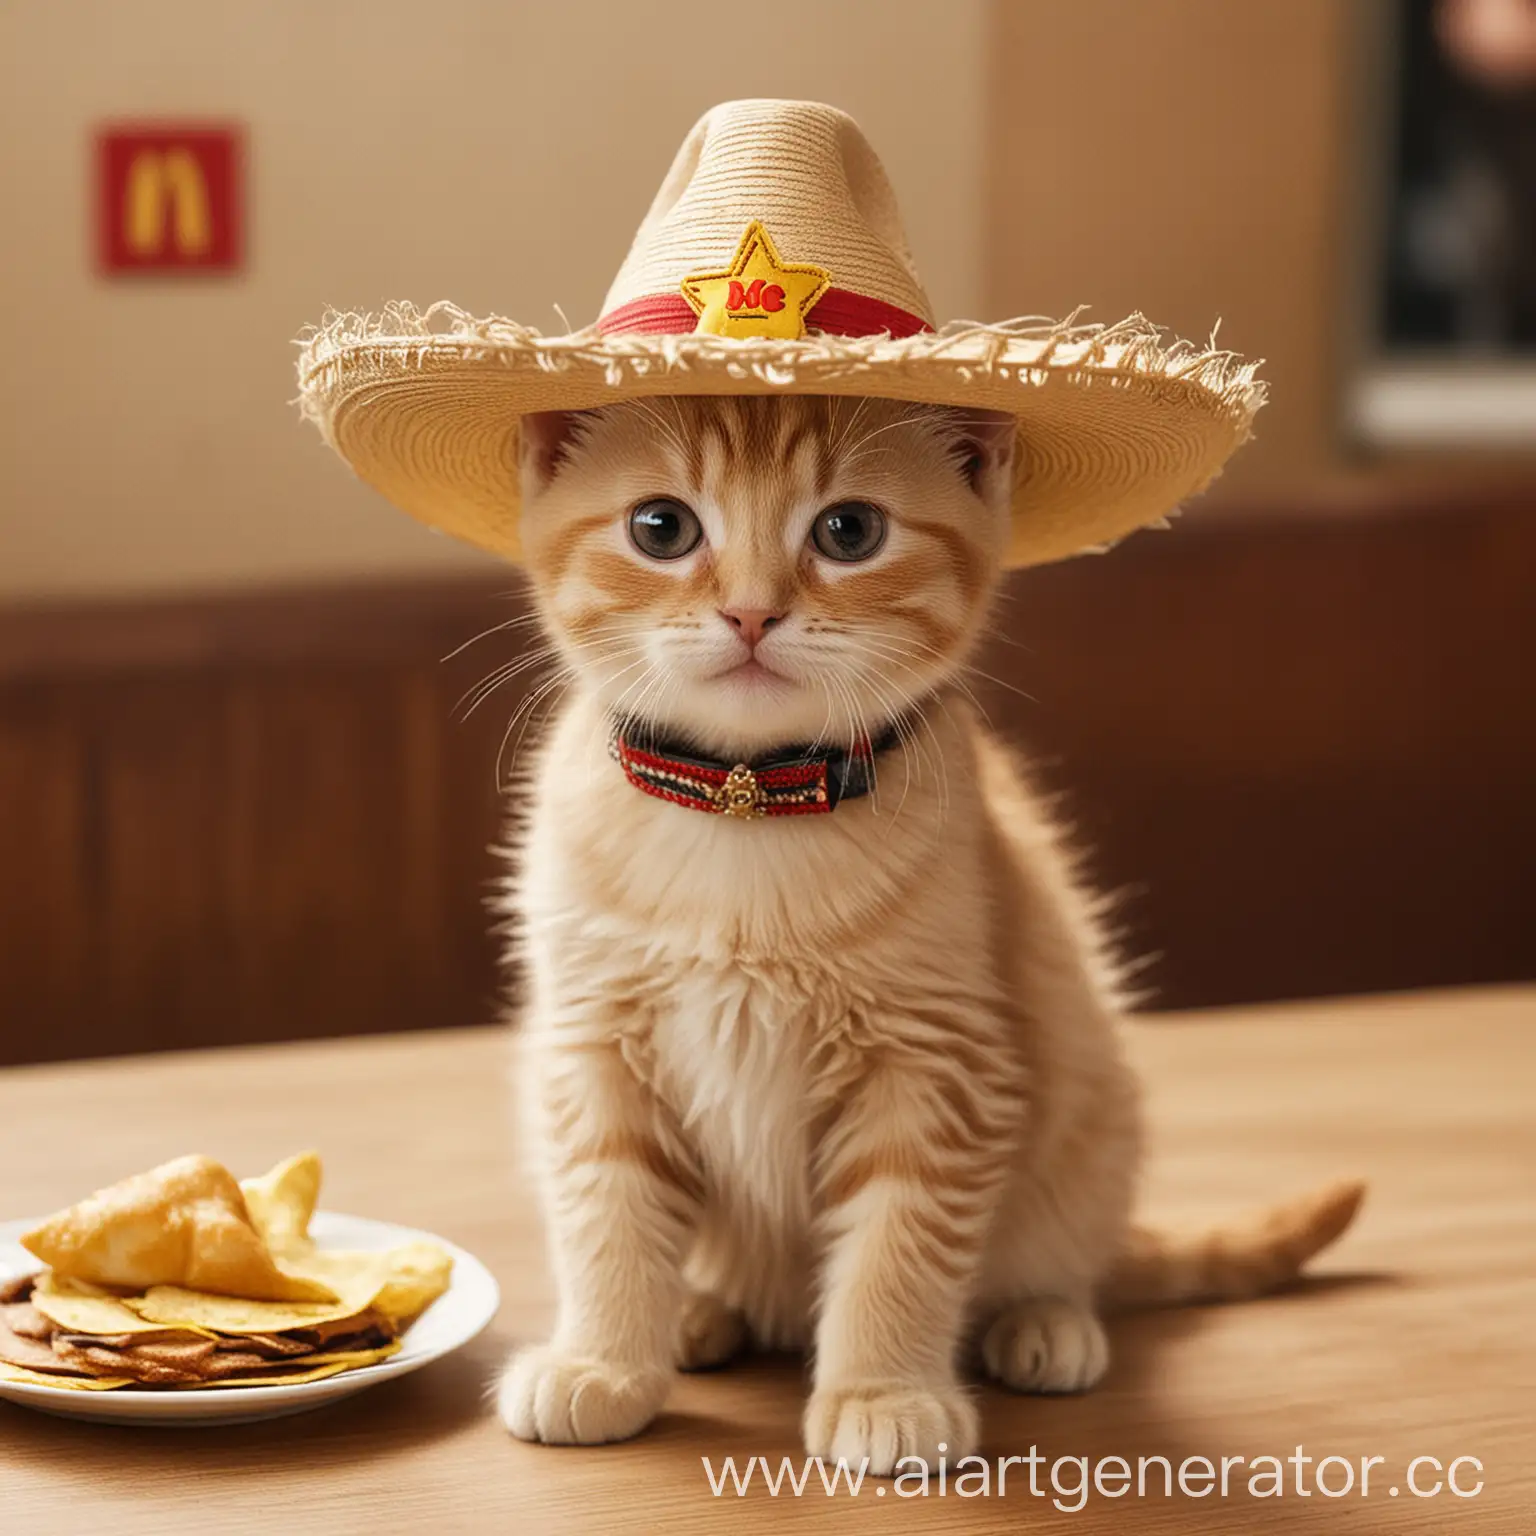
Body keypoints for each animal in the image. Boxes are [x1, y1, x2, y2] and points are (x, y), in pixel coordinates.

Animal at [488, 396, 1357, 1474]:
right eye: (662, 528)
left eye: (849, 532)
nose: (750, 613)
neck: (746, 806)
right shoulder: (591, 1045)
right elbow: (604, 1208)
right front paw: (602, 1359)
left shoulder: (939, 1061)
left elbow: (899, 1240)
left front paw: (882, 1389)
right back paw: (695, 1309)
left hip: (1093, 1103)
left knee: (1065, 1253)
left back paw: (1045, 1319)